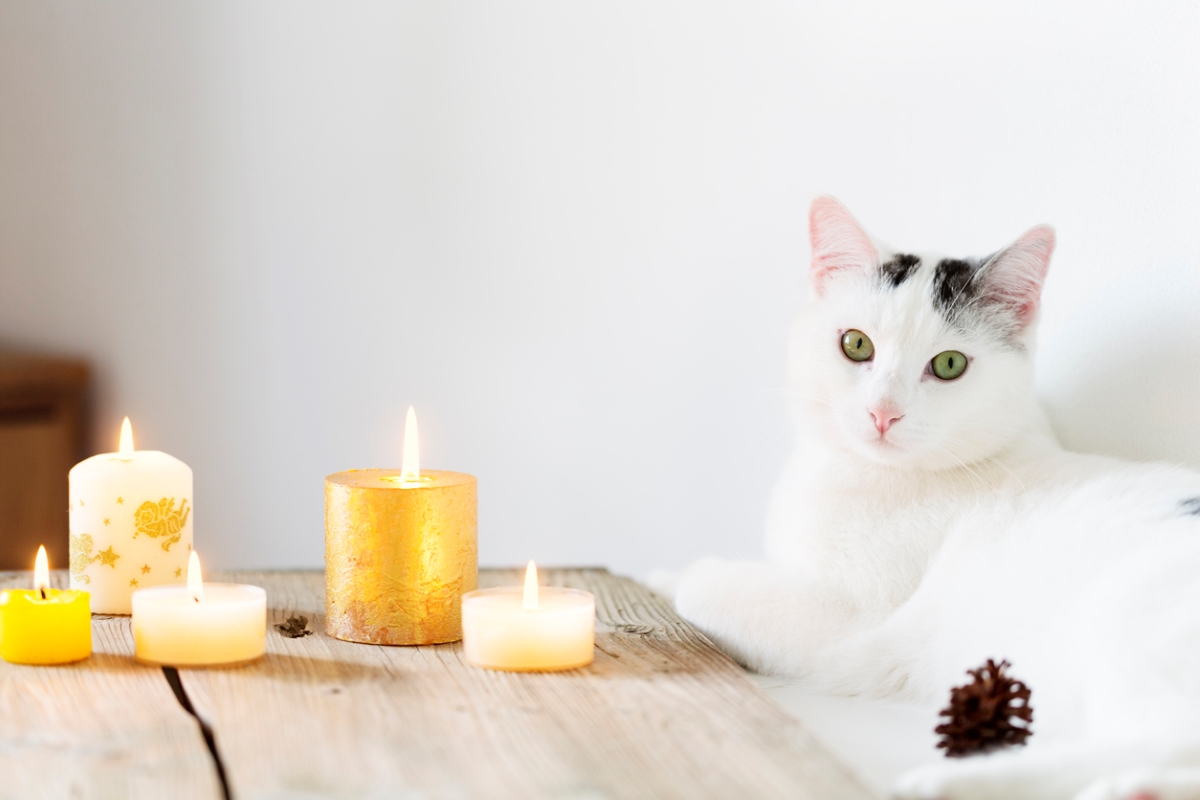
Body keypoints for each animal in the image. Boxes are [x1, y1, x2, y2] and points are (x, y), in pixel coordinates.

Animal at [676, 195, 1200, 800]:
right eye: (855, 344)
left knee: (1165, 738)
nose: (883, 412)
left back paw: (951, 784)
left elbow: (707, 586)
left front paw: (663, 578)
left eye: (949, 365)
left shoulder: (855, 628)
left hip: (1124, 614)